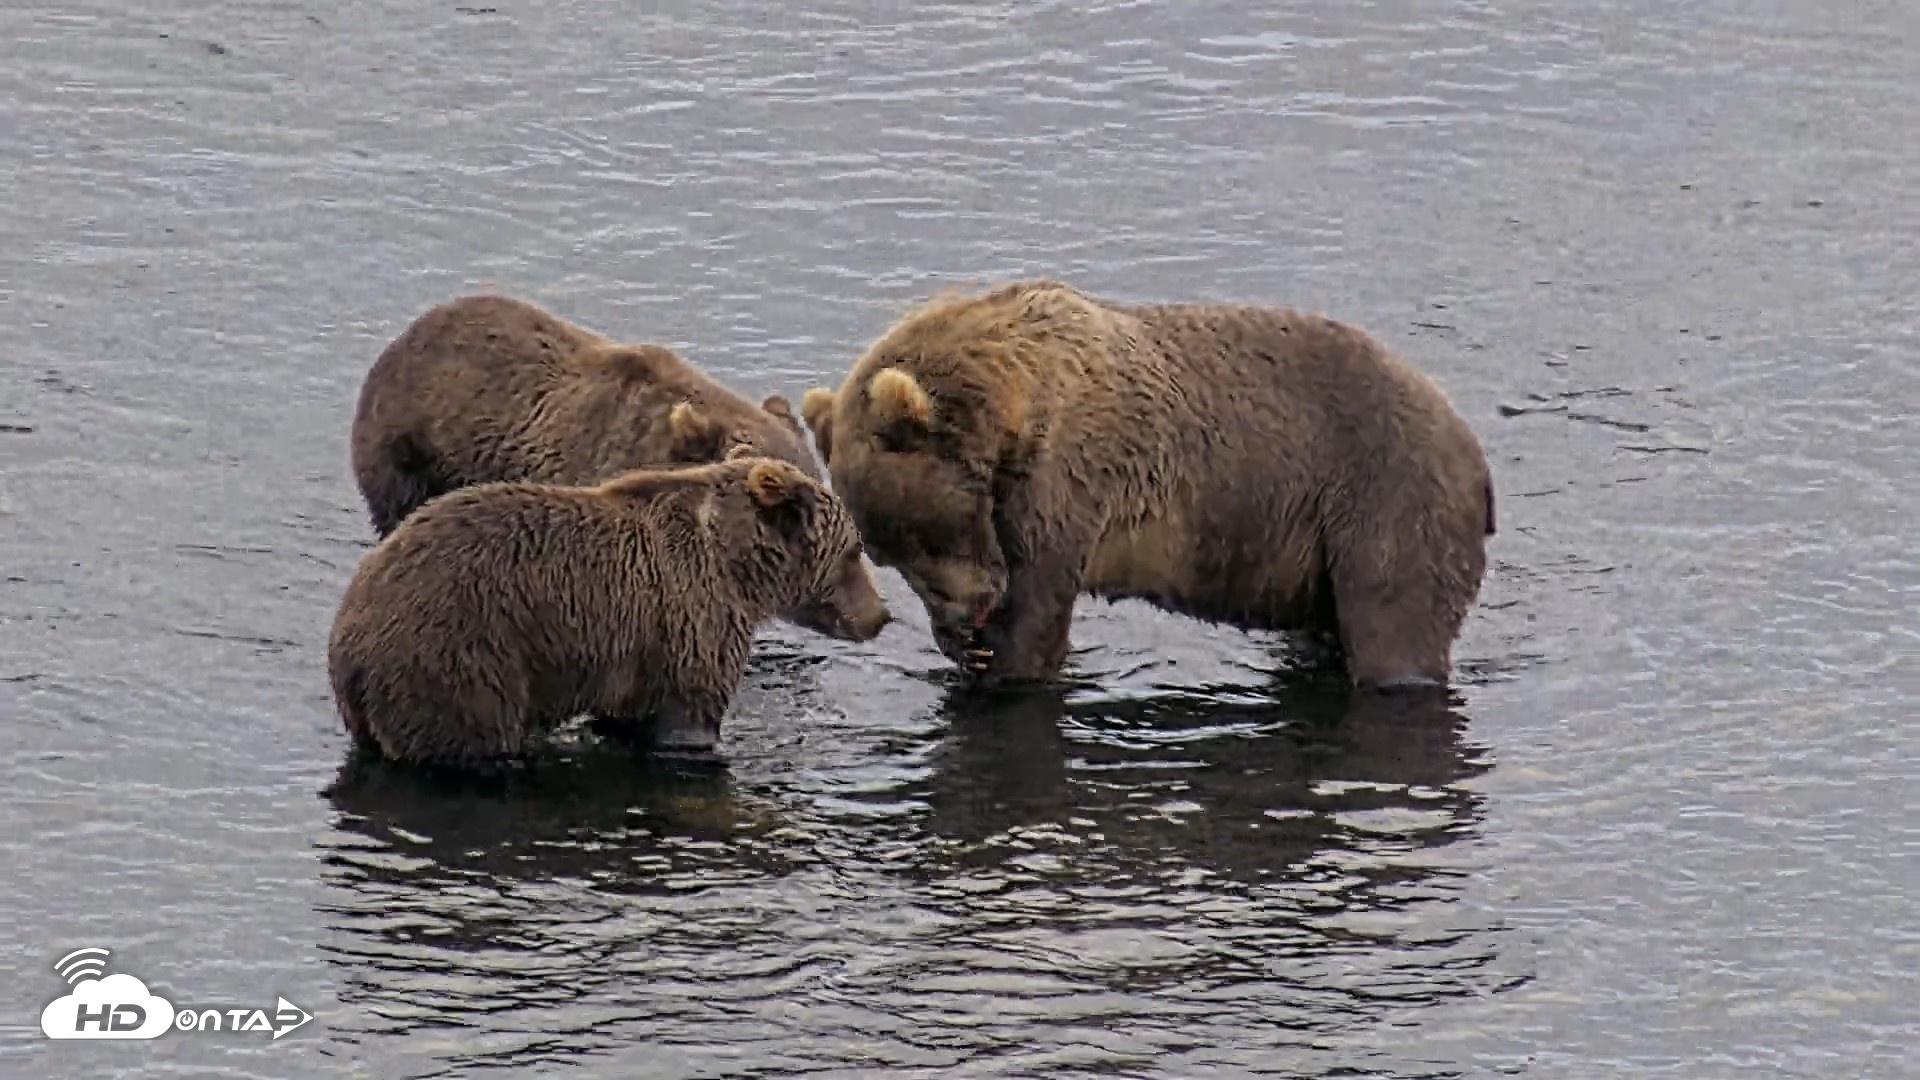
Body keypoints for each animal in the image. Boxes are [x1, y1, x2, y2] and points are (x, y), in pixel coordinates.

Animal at [326, 453, 891, 766]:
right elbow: (689, 715)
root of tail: (348, 645)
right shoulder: (690, 614)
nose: (880, 616)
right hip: (463, 659)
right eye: (854, 550)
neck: (738, 568)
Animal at [799, 279, 1496, 692]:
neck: (1012, 401)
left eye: (928, 528)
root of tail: (1475, 452)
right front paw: (965, 649)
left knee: (1393, 624)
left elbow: (1040, 600)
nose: (964, 613)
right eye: (887, 552)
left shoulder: (1068, 471)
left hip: (1382, 498)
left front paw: (1002, 658)